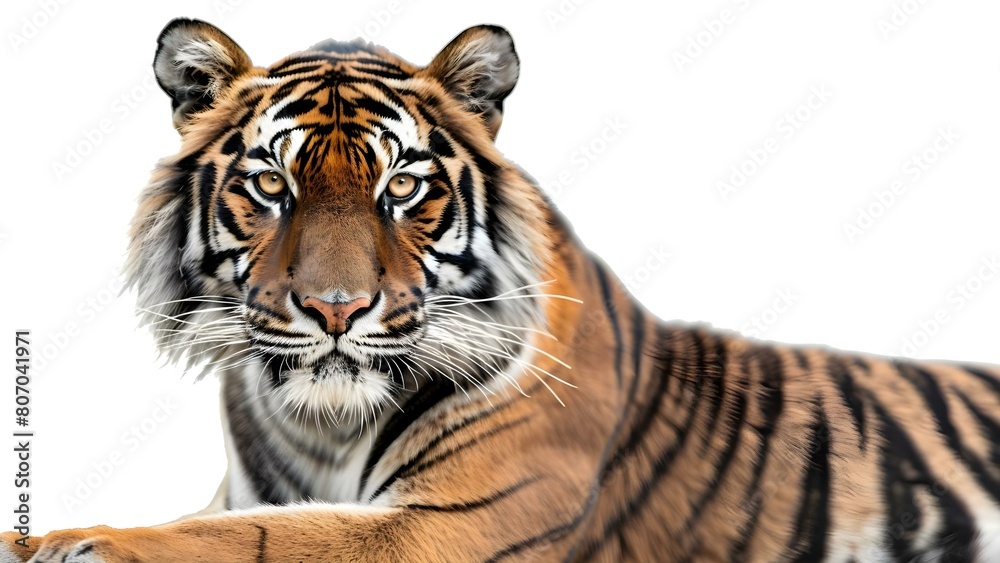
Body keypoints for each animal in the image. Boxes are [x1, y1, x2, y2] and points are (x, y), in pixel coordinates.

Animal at [5, 16, 1000, 563]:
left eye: (403, 187)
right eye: (272, 186)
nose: (335, 309)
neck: (323, 427)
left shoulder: (448, 526)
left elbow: (248, 541)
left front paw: (71, 542)